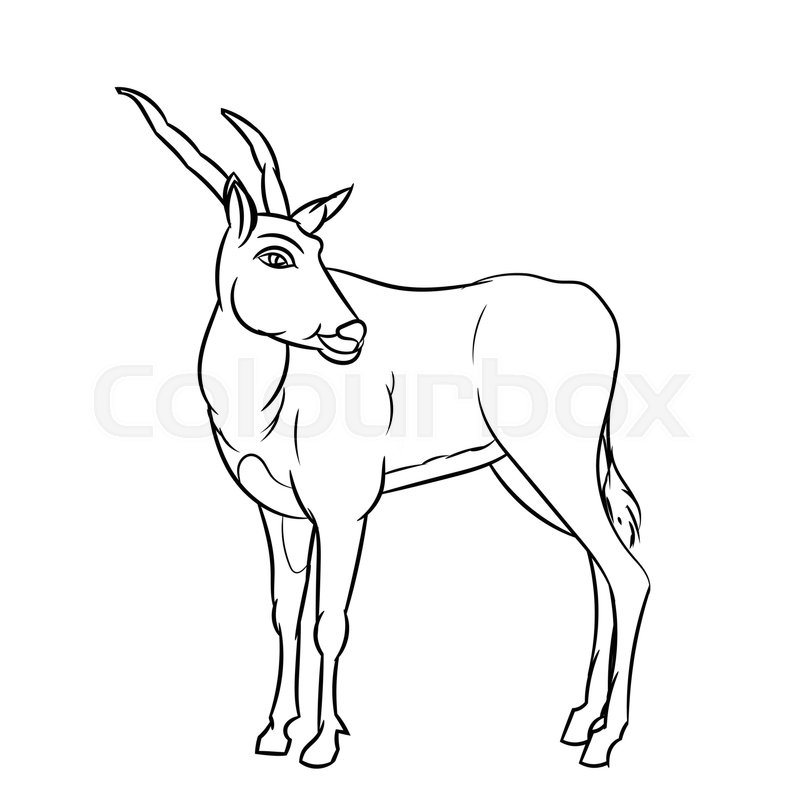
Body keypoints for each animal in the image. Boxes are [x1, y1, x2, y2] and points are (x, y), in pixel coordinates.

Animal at [117, 87, 650, 769]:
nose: (351, 331)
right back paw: (580, 720)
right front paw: (277, 732)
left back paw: (604, 740)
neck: (266, 400)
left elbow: (329, 622)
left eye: (319, 252)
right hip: (529, 474)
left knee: (627, 573)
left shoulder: (345, 511)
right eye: (275, 253)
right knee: (602, 563)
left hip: (553, 465)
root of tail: (592, 304)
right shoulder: (282, 515)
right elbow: (286, 614)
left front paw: (319, 743)